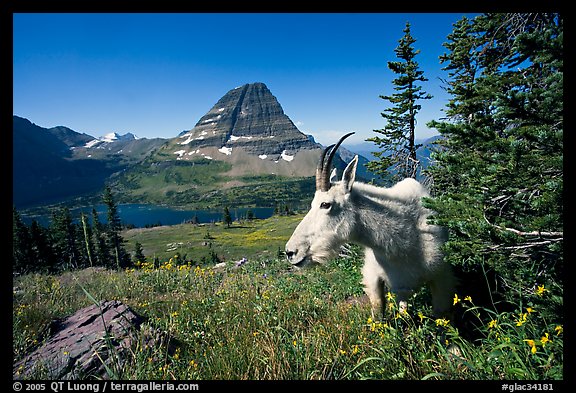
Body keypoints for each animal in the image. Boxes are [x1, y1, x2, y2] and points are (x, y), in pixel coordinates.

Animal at [286, 133, 456, 316]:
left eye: (325, 204)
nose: (290, 252)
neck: (404, 240)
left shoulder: (442, 278)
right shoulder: (374, 276)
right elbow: (378, 309)